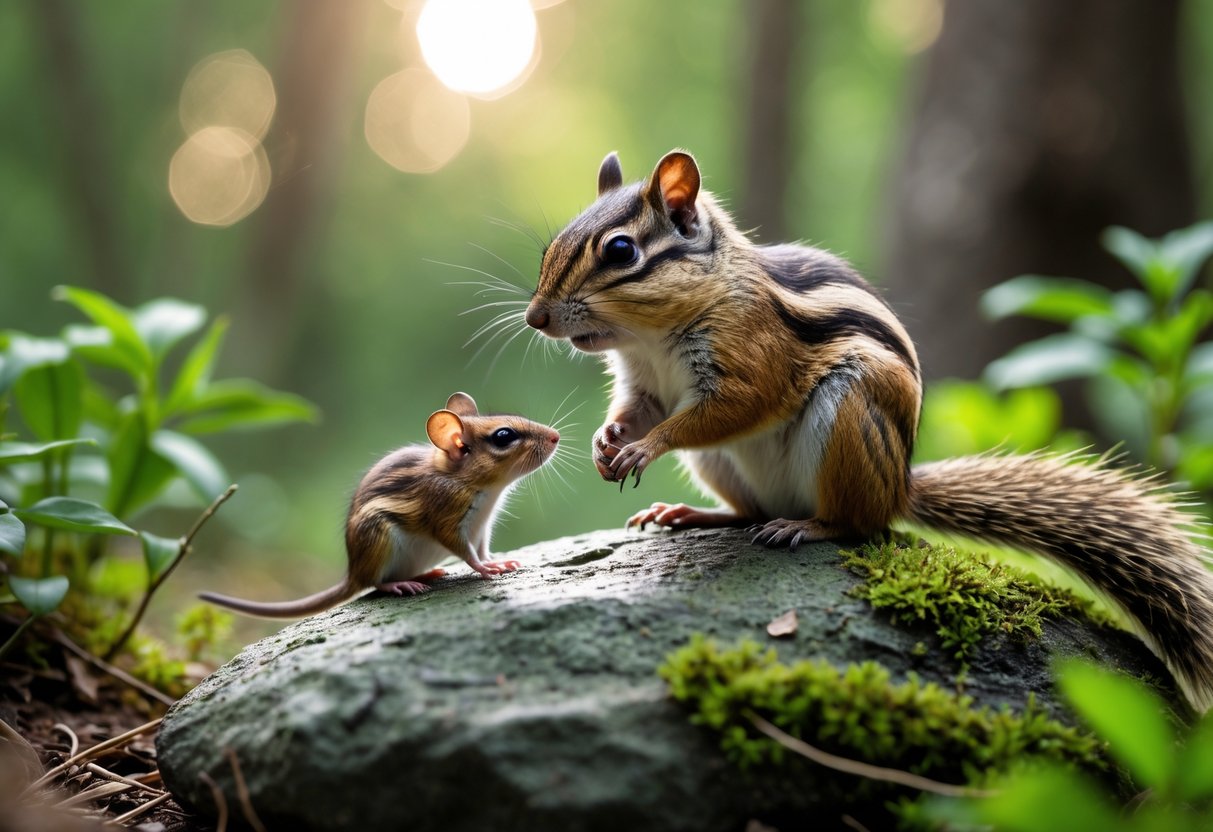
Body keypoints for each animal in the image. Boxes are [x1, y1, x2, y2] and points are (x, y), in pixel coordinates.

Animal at [200, 393, 560, 618]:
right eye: (503, 436)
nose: (556, 436)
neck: (477, 486)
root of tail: (352, 572)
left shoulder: (482, 527)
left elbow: (483, 549)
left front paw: (499, 562)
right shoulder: (447, 519)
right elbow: (467, 553)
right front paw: (485, 569)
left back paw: (429, 573)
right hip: (379, 538)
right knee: (375, 584)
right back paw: (401, 583)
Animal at [523, 149, 1213, 711]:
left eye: (620, 252)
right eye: (551, 248)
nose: (535, 318)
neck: (654, 336)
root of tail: (901, 484)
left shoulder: (752, 359)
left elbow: (728, 409)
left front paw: (644, 446)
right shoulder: (643, 381)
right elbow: (636, 408)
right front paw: (608, 440)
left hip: (849, 414)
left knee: (857, 523)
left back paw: (806, 526)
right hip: (722, 464)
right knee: (749, 512)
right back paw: (692, 515)